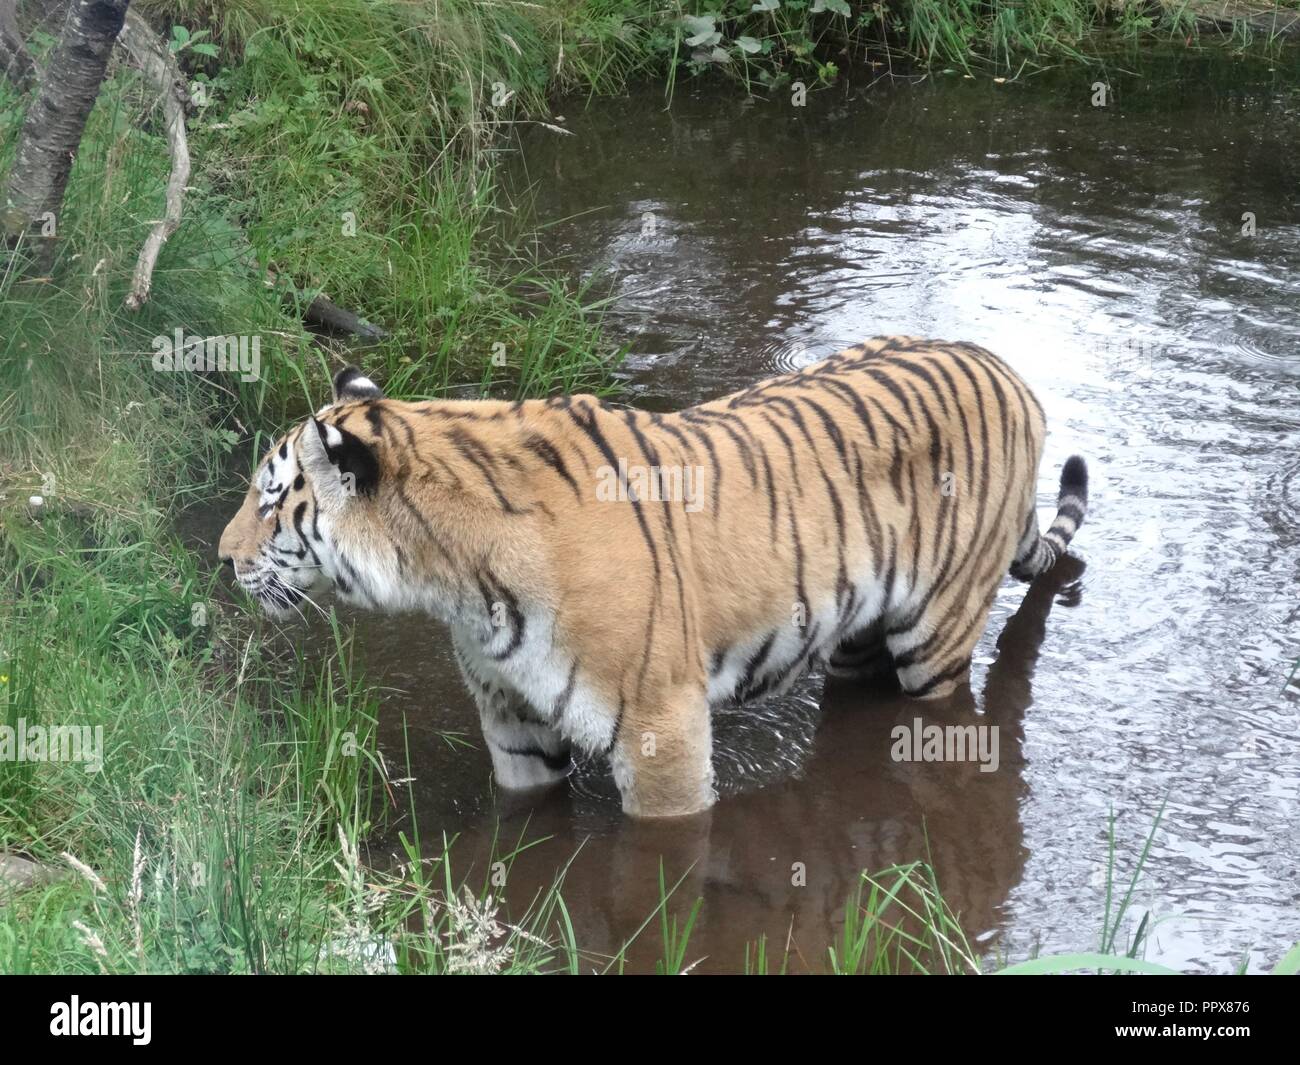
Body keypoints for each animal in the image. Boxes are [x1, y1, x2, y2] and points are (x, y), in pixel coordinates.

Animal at [220, 338, 1086, 821]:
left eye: (269, 498)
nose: (223, 558)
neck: (456, 583)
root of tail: (1010, 372)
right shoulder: (513, 722)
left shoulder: (661, 728)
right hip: (853, 638)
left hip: (934, 638)